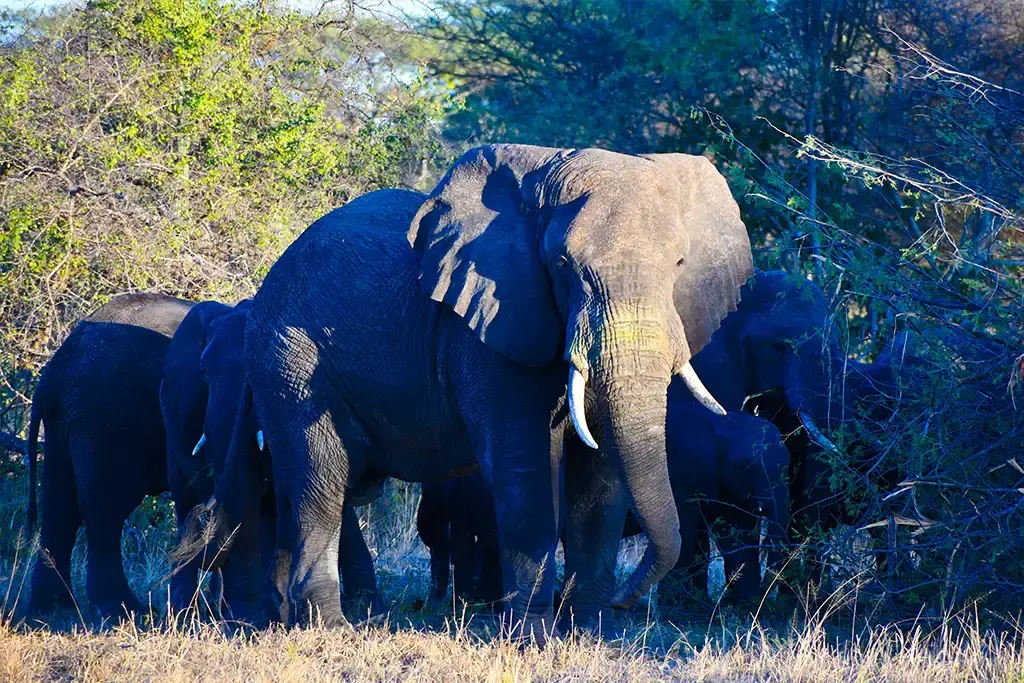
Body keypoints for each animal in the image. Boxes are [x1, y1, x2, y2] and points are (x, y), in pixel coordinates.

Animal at [26, 293, 195, 618]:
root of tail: (56, 367)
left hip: (65, 421)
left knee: (60, 505)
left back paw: (53, 610)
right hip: (108, 418)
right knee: (106, 510)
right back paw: (124, 612)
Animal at [161, 300, 380, 621]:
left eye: (255, 378)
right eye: (203, 372)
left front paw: (365, 607)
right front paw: (248, 617)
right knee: (185, 499)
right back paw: (186, 613)